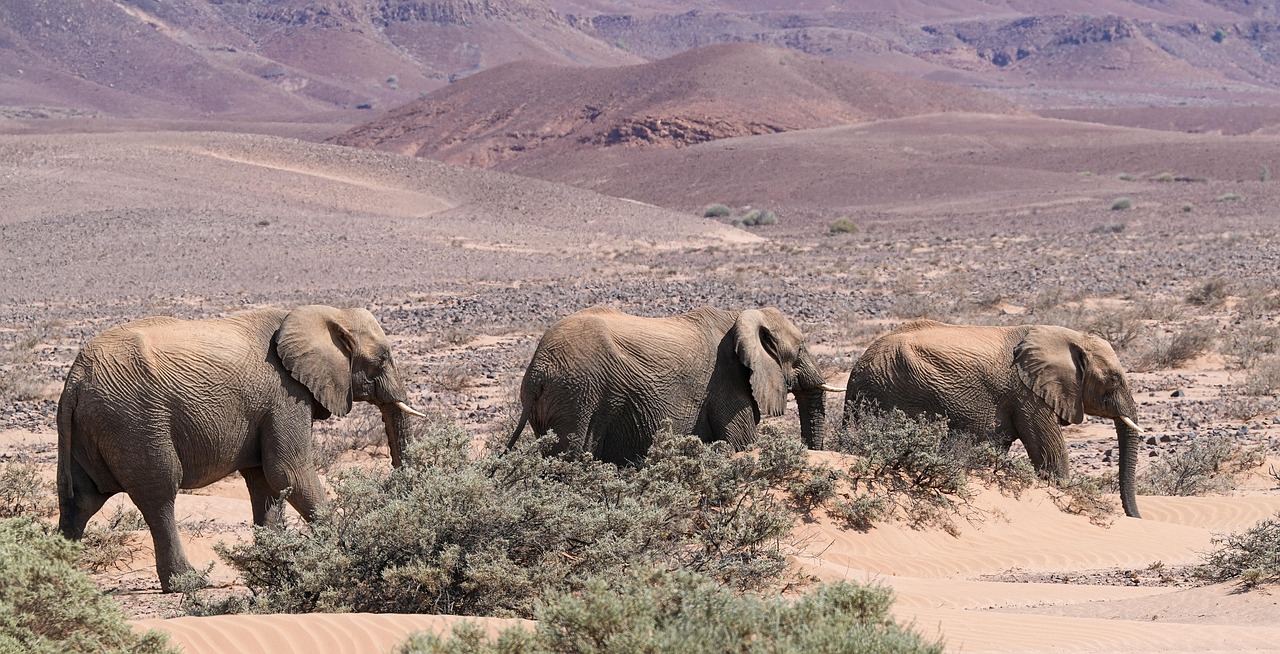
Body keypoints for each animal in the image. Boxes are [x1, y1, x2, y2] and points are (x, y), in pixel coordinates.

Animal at [56, 304, 425, 591]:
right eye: (382, 359)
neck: (323, 314)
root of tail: (75, 380)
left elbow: (265, 482)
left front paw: (273, 563)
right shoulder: (285, 395)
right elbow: (287, 472)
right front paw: (344, 552)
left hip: (93, 426)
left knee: (81, 500)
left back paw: (61, 579)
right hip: (136, 422)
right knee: (158, 495)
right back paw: (188, 583)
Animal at [506, 306, 844, 465]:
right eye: (800, 350)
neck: (740, 316)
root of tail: (537, 371)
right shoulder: (725, 381)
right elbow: (742, 442)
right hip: (576, 395)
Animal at [842, 319, 1144, 518]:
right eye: (1112, 380)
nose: (1135, 518)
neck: (1070, 337)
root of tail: (857, 369)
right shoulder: (1027, 392)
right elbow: (1050, 455)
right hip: (891, 390)